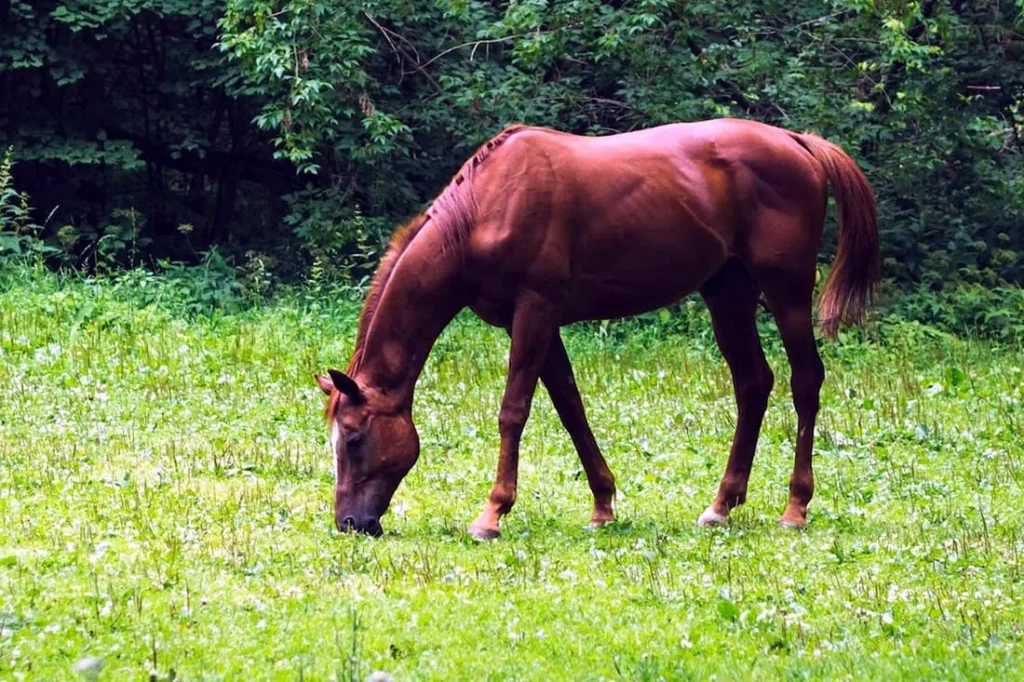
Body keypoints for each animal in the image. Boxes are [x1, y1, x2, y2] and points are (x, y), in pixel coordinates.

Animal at [315, 118, 879, 539]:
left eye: (354, 439)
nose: (350, 523)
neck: (485, 208)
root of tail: (798, 143)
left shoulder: (535, 312)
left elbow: (513, 411)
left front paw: (492, 514)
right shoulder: (535, 323)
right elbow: (570, 406)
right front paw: (603, 504)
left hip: (787, 291)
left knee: (805, 381)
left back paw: (795, 506)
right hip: (727, 292)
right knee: (753, 383)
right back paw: (721, 505)